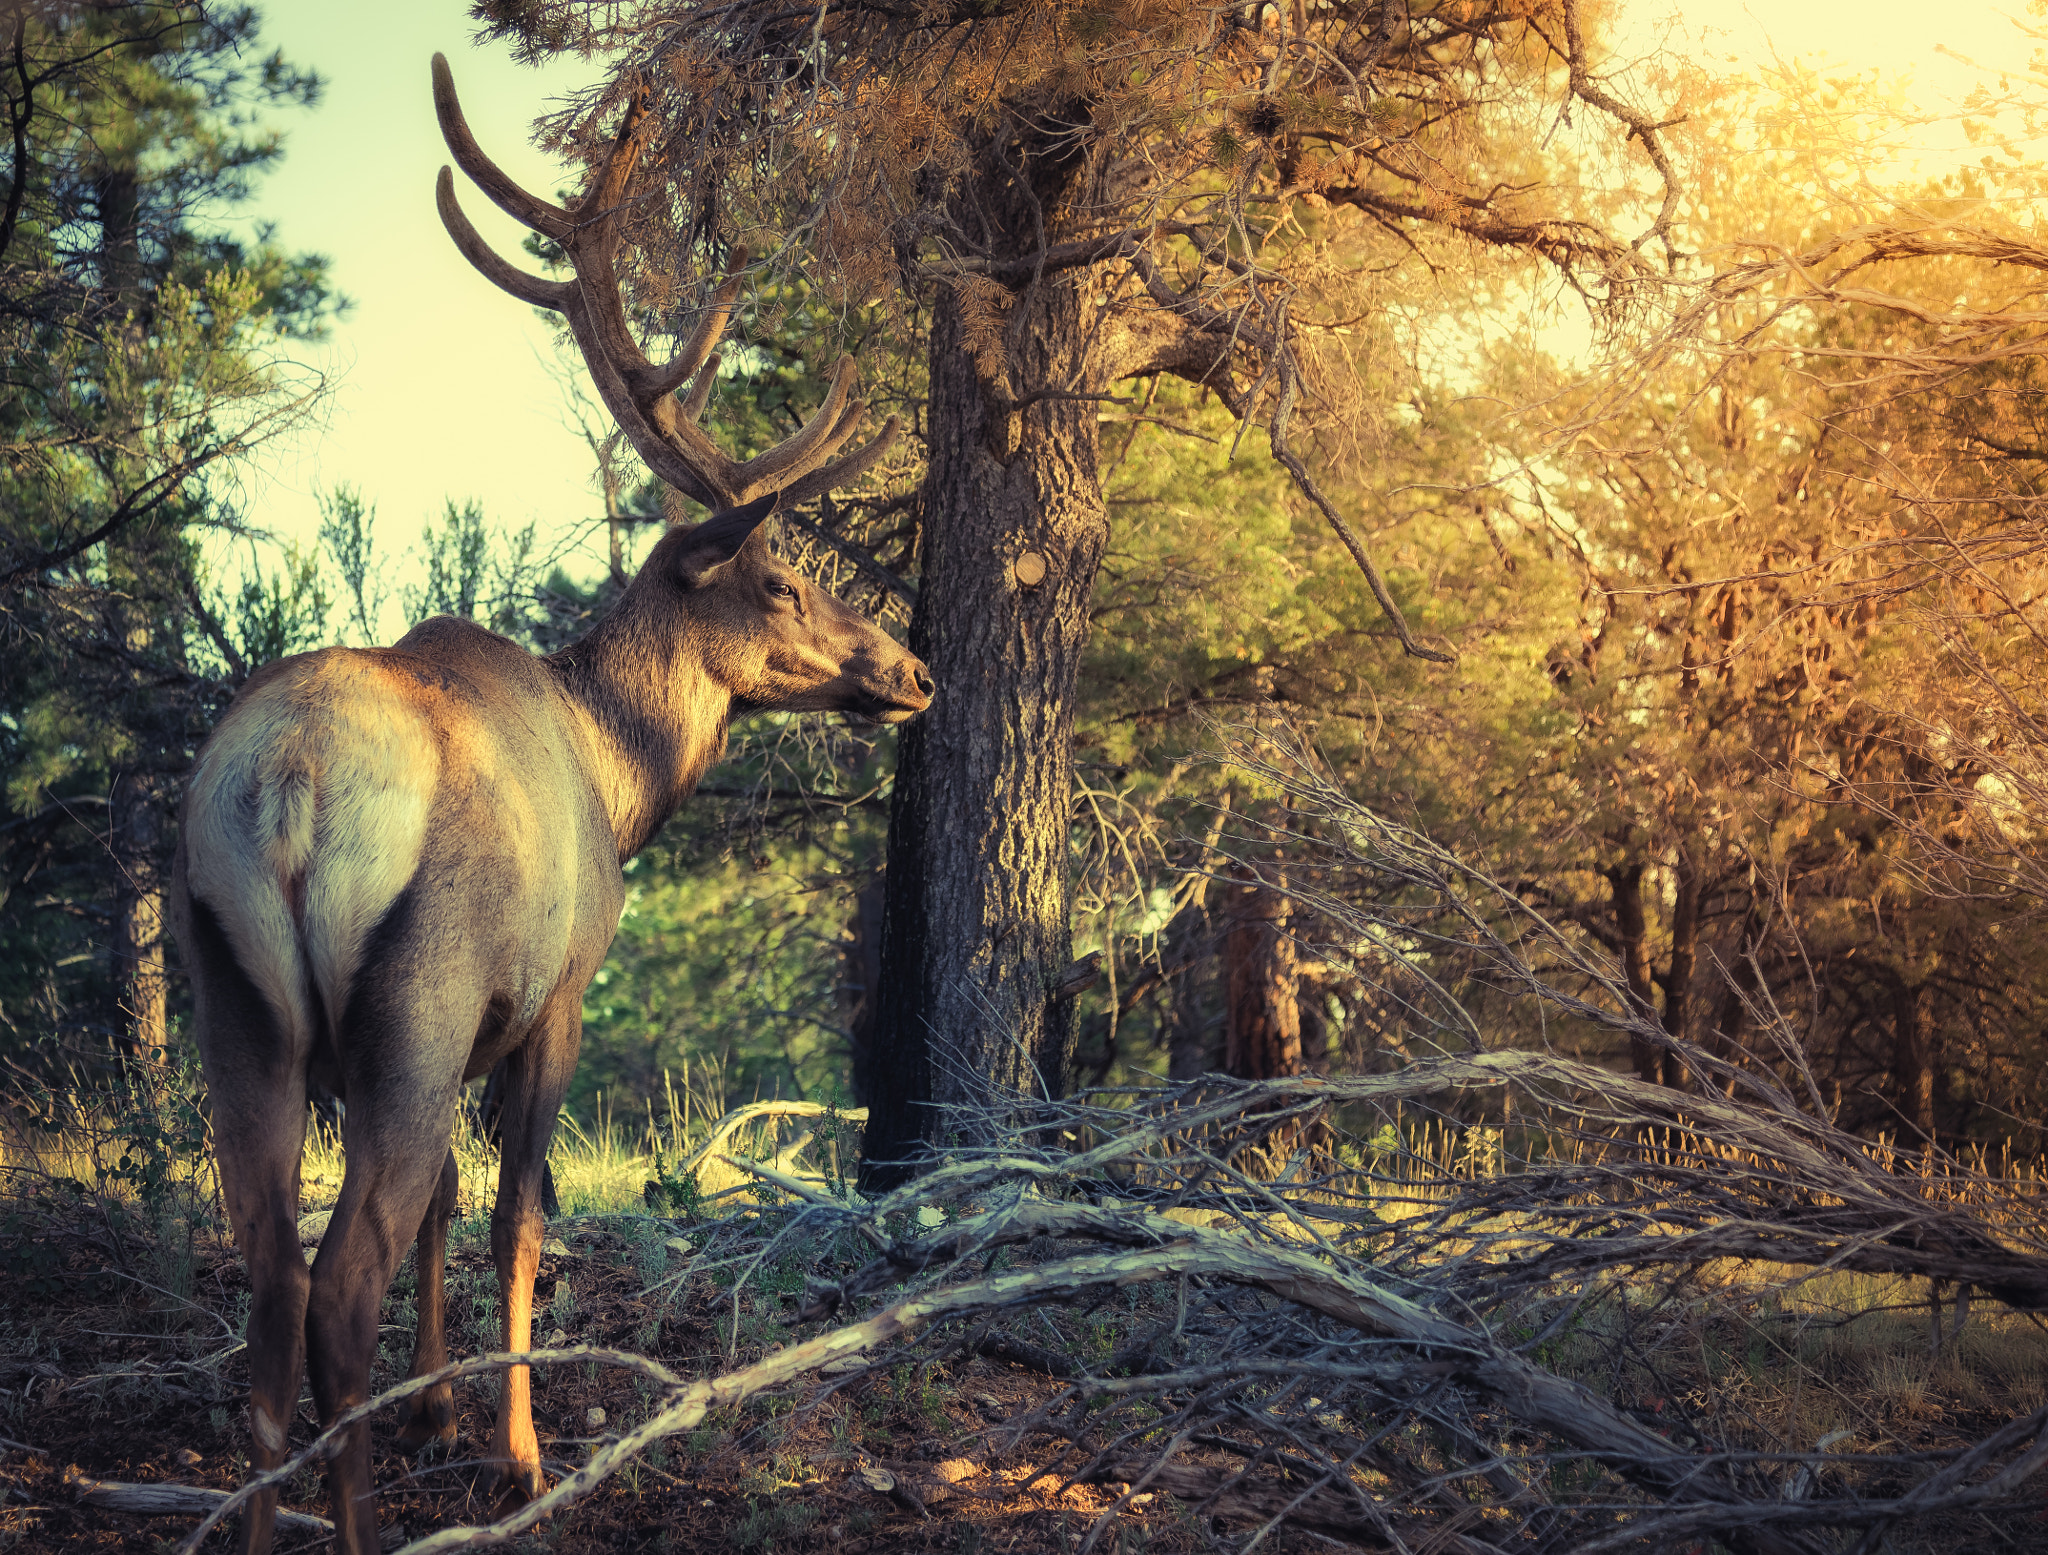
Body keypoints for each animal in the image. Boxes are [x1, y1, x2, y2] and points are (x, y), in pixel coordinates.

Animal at [168, 55, 932, 1555]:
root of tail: (285, 790)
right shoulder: (553, 992)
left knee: (269, 1273)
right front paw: (517, 1451)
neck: (620, 773)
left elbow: (451, 1208)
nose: (912, 670)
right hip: (417, 987)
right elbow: (517, 1214)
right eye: (783, 584)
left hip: (236, 991)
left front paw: (441, 1410)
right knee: (336, 1276)